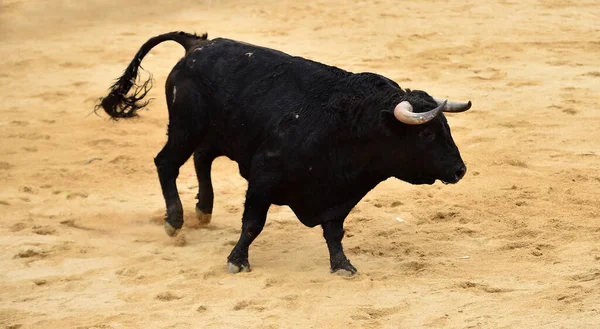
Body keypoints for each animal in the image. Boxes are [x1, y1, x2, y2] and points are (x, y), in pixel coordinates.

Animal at [96, 32, 474, 276]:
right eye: (426, 133)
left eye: (447, 129)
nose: (459, 170)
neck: (350, 124)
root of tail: (197, 43)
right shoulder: (263, 180)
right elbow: (252, 224)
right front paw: (237, 261)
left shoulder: (339, 192)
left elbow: (334, 230)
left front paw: (342, 265)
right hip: (185, 126)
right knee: (167, 163)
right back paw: (174, 220)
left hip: (217, 133)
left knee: (202, 158)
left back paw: (203, 210)